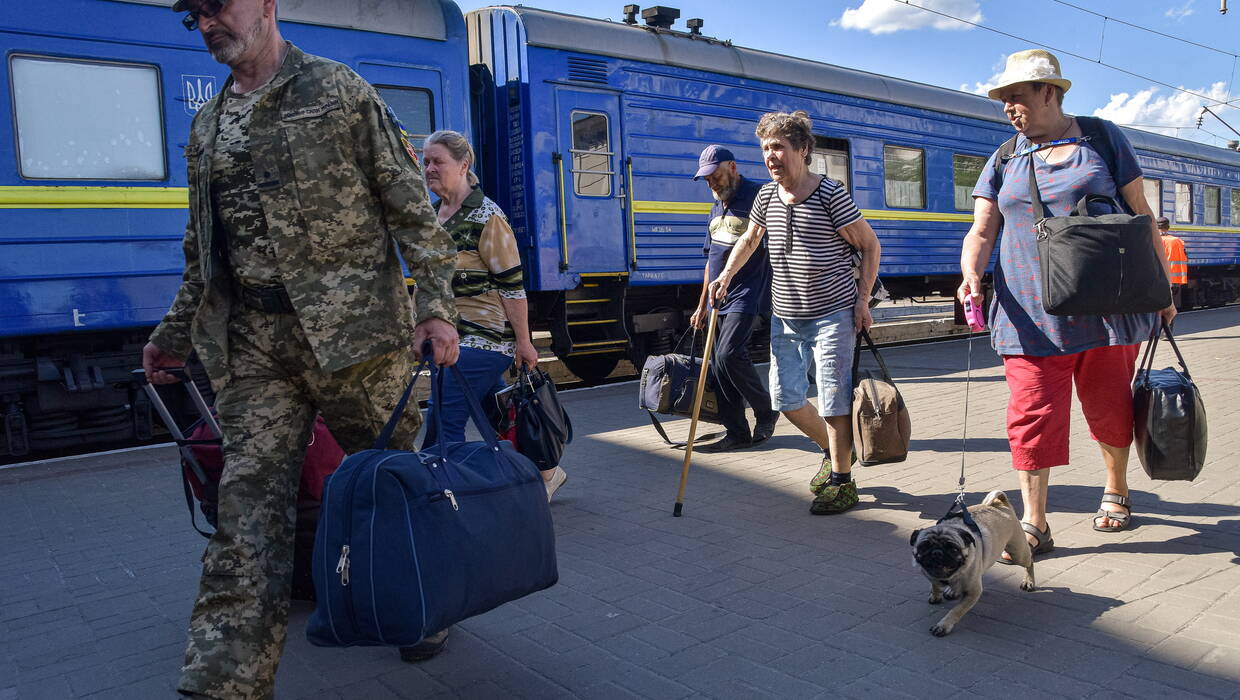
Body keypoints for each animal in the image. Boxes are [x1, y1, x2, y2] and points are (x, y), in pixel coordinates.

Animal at [912, 488, 1036, 634]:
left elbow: (957, 610)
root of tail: (999, 504)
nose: (937, 552)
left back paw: (1029, 581)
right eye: (924, 546)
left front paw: (943, 625)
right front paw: (936, 595)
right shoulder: (930, 575)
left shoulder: (973, 592)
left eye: (953, 549)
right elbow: (934, 585)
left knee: (1030, 561)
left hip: (1018, 553)